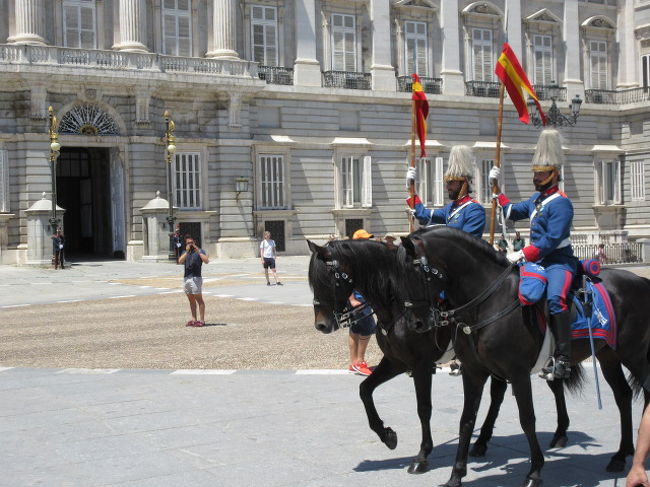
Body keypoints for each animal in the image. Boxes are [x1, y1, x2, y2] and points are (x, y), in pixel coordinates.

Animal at [306, 240, 576, 476]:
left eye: (326, 279)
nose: (321, 325)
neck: (396, 305)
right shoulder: (395, 362)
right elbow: (365, 390)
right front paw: (387, 435)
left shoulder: (421, 365)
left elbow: (424, 408)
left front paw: (422, 456)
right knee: (500, 394)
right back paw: (483, 441)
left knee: (554, 385)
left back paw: (560, 433)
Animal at [398, 228, 648, 487]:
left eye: (415, 272)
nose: (416, 324)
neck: (487, 301)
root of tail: (640, 280)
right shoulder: (473, 372)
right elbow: (466, 420)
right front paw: (456, 474)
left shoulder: (517, 373)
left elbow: (527, 419)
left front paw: (535, 472)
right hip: (609, 356)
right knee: (623, 395)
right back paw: (620, 455)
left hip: (635, 354)